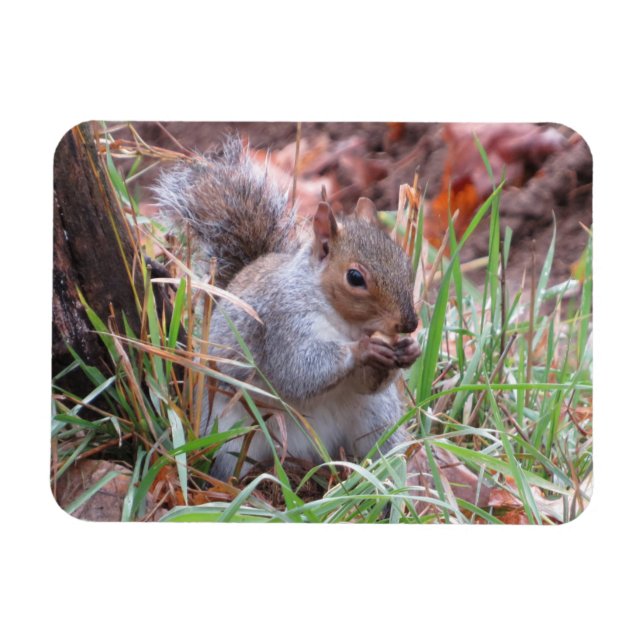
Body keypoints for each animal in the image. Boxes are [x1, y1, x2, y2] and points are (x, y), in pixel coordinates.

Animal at [155, 136, 489, 507]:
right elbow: (297, 371)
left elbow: (365, 383)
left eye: (404, 262)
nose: (408, 324)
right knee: (234, 464)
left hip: (376, 420)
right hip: (233, 433)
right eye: (355, 277)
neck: (342, 320)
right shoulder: (282, 322)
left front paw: (409, 350)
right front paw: (362, 349)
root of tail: (316, 453)